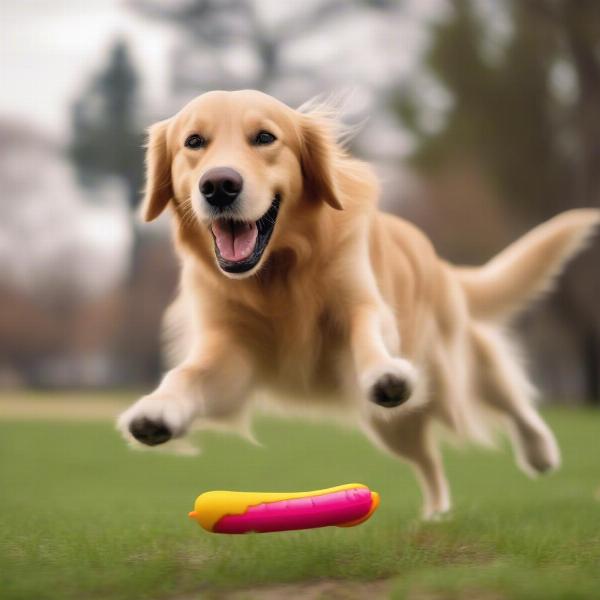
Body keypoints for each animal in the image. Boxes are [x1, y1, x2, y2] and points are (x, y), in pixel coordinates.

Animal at [118, 90, 600, 520]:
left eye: (265, 138)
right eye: (194, 142)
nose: (219, 185)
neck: (278, 273)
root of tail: (438, 260)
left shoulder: (361, 304)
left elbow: (368, 336)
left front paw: (385, 373)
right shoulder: (229, 352)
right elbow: (187, 375)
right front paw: (157, 412)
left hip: (451, 368)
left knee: (505, 395)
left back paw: (539, 452)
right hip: (394, 426)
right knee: (429, 460)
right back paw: (436, 513)